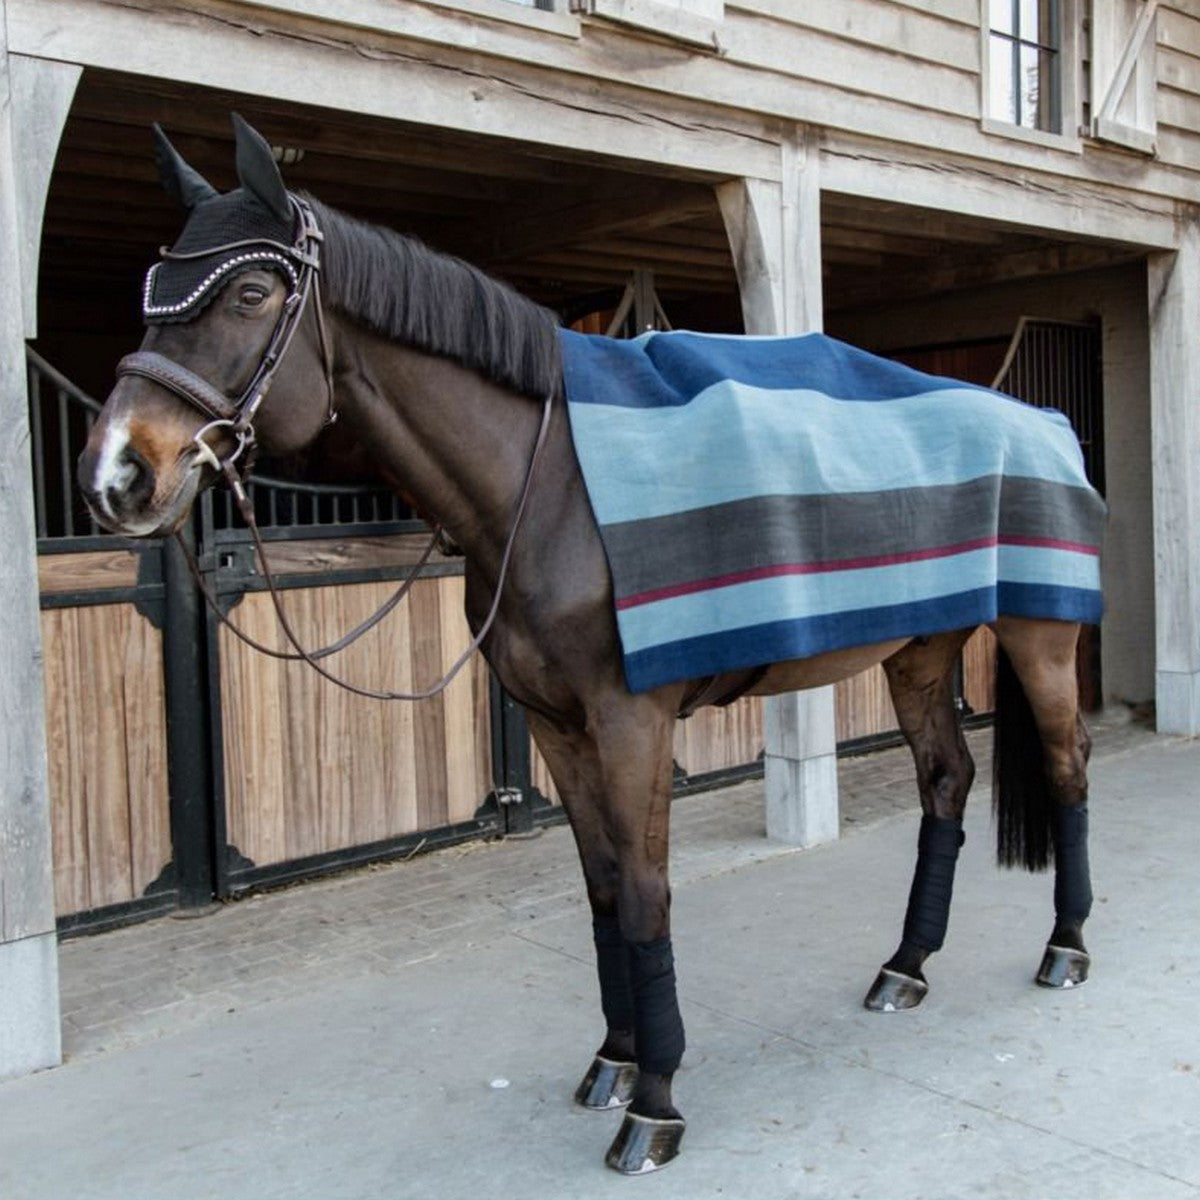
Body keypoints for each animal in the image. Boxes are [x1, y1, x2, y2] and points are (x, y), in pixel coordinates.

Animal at [77, 119, 1099, 1171]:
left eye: (249, 292)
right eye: (153, 294)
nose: (115, 474)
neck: (553, 495)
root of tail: (1042, 424)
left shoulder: (631, 722)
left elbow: (647, 895)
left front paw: (656, 1103)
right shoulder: (554, 724)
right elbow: (605, 889)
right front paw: (614, 1059)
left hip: (1039, 636)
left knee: (1067, 766)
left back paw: (1064, 948)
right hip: (921, 652)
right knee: (946, 782)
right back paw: (907, 965)